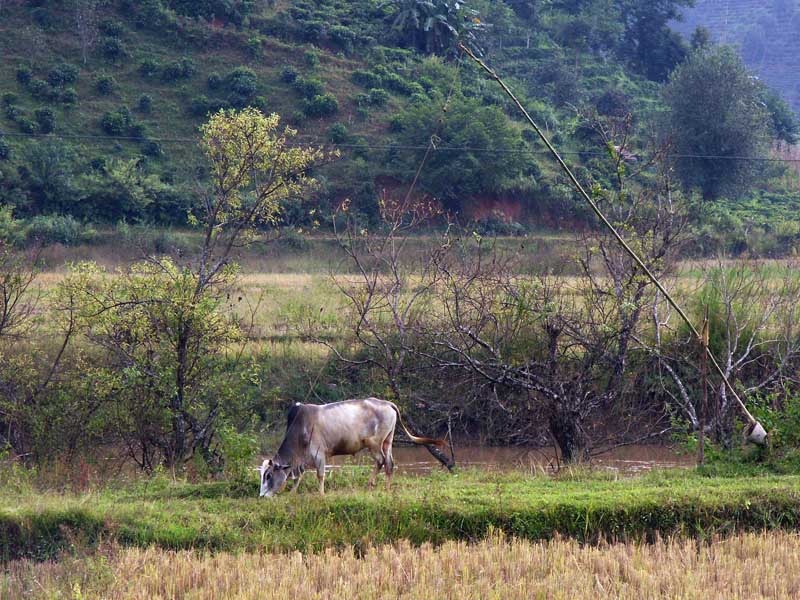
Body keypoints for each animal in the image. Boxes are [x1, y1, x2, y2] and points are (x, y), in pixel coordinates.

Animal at [258, 398, 444, 496]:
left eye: (268, 475)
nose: (262, 495)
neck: (300, 427)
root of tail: (387, 403)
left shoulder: (319, 454)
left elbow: (320, 475)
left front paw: (321, 494)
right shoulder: (302, 461)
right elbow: (298, 476)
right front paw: (292, 493)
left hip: (374, 444)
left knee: (381, 461)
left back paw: (372, 485)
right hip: (387, 442)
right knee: (389, 463)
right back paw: (385, 488)